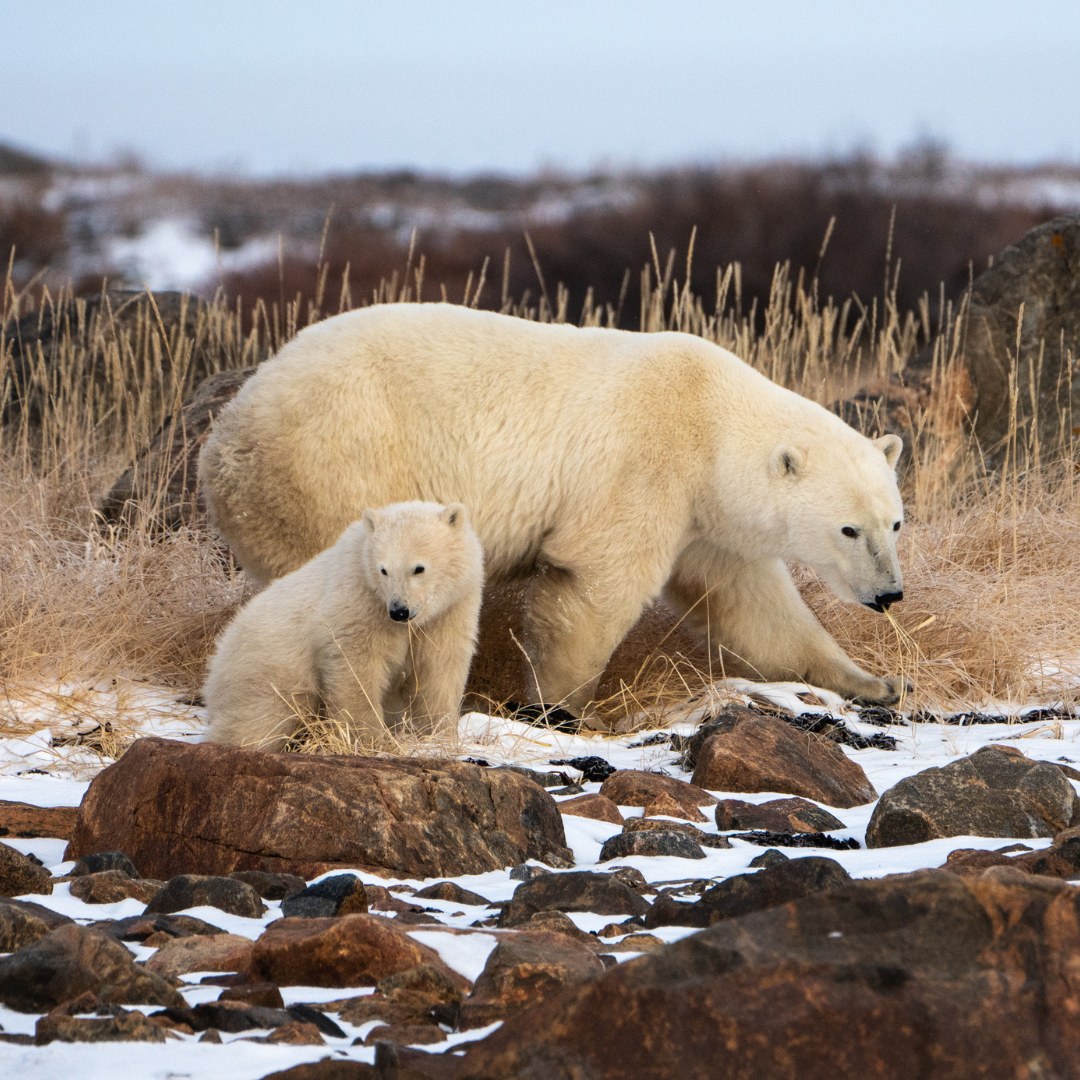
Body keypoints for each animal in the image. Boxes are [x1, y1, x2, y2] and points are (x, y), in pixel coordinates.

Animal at [199, 302, 906, 715]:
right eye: (849, 529)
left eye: (894, 522)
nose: (890, 593)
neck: (711, 414)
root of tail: (223, 441)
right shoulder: (644, 463)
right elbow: (596, 581)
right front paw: (558, 706)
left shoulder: (706, 517)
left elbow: (753, 604)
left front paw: (872, 681)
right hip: (339, 466)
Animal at [203, 500, 484, 751]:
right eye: (383, 570)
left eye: (419, 568)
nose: (399, 610)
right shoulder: (361, 601)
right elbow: (356, 666)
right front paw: (370, 739)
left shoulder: (450, 610)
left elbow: (439, 666)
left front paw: (439, 734)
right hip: (266, 667)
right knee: (262, 717)